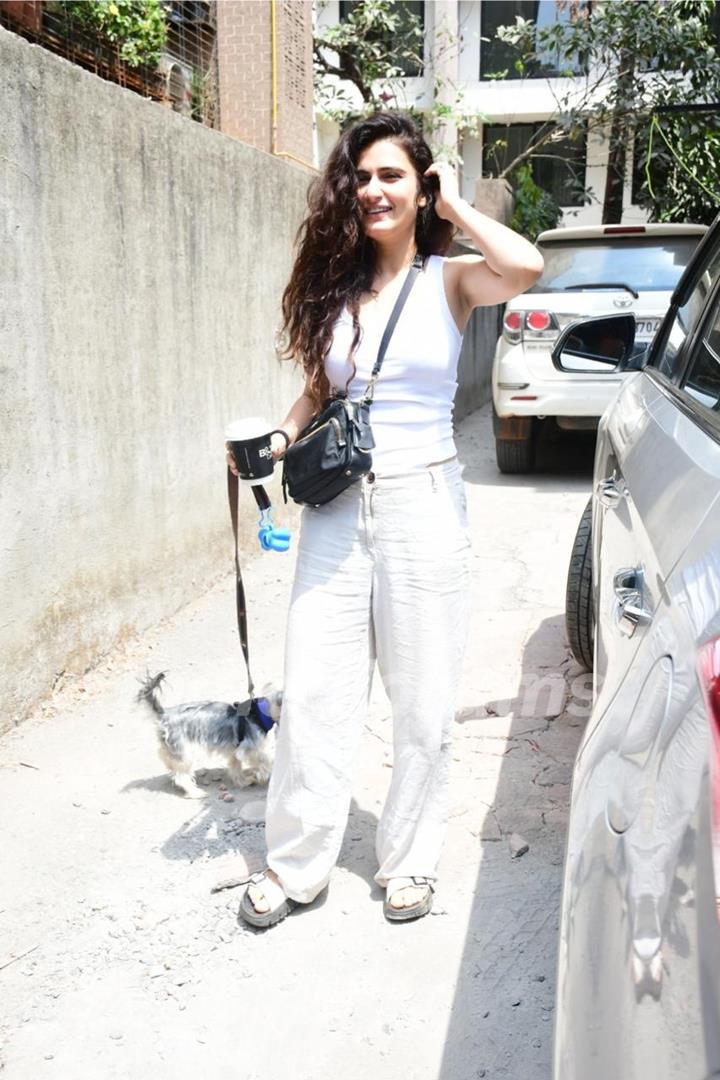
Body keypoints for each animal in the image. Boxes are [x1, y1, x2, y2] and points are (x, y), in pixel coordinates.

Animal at [134, 669, 280, 799]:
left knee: (170, 762)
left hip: (173, 749)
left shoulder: (235, 751)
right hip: (185, 753)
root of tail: (164, 715)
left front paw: (242, 782)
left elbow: (236, 767)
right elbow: (265, 759)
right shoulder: (249, 748)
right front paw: (266, 774)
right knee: (181, 777)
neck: (260, 713)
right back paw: (195, 793)